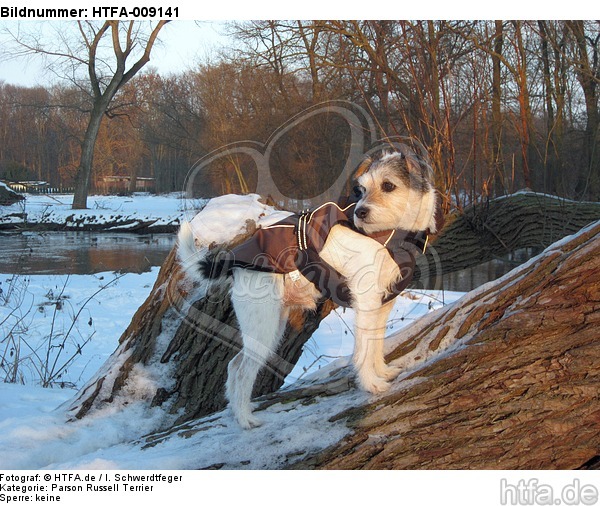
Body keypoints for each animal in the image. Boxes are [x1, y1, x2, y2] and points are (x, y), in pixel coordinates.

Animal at [176, 148, 442, 428]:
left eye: (388, 185)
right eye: (361, 189)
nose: (360, 213)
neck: (395, 233)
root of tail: (233, 265)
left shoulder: (382, 304)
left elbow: (376, 345)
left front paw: (382, 372)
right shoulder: (366, 302)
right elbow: (363, 349)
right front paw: (370, 384)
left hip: (272, 325)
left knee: (234, 365)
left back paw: (237, 411)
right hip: (264, 327)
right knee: (241, 370)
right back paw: (245, 418)